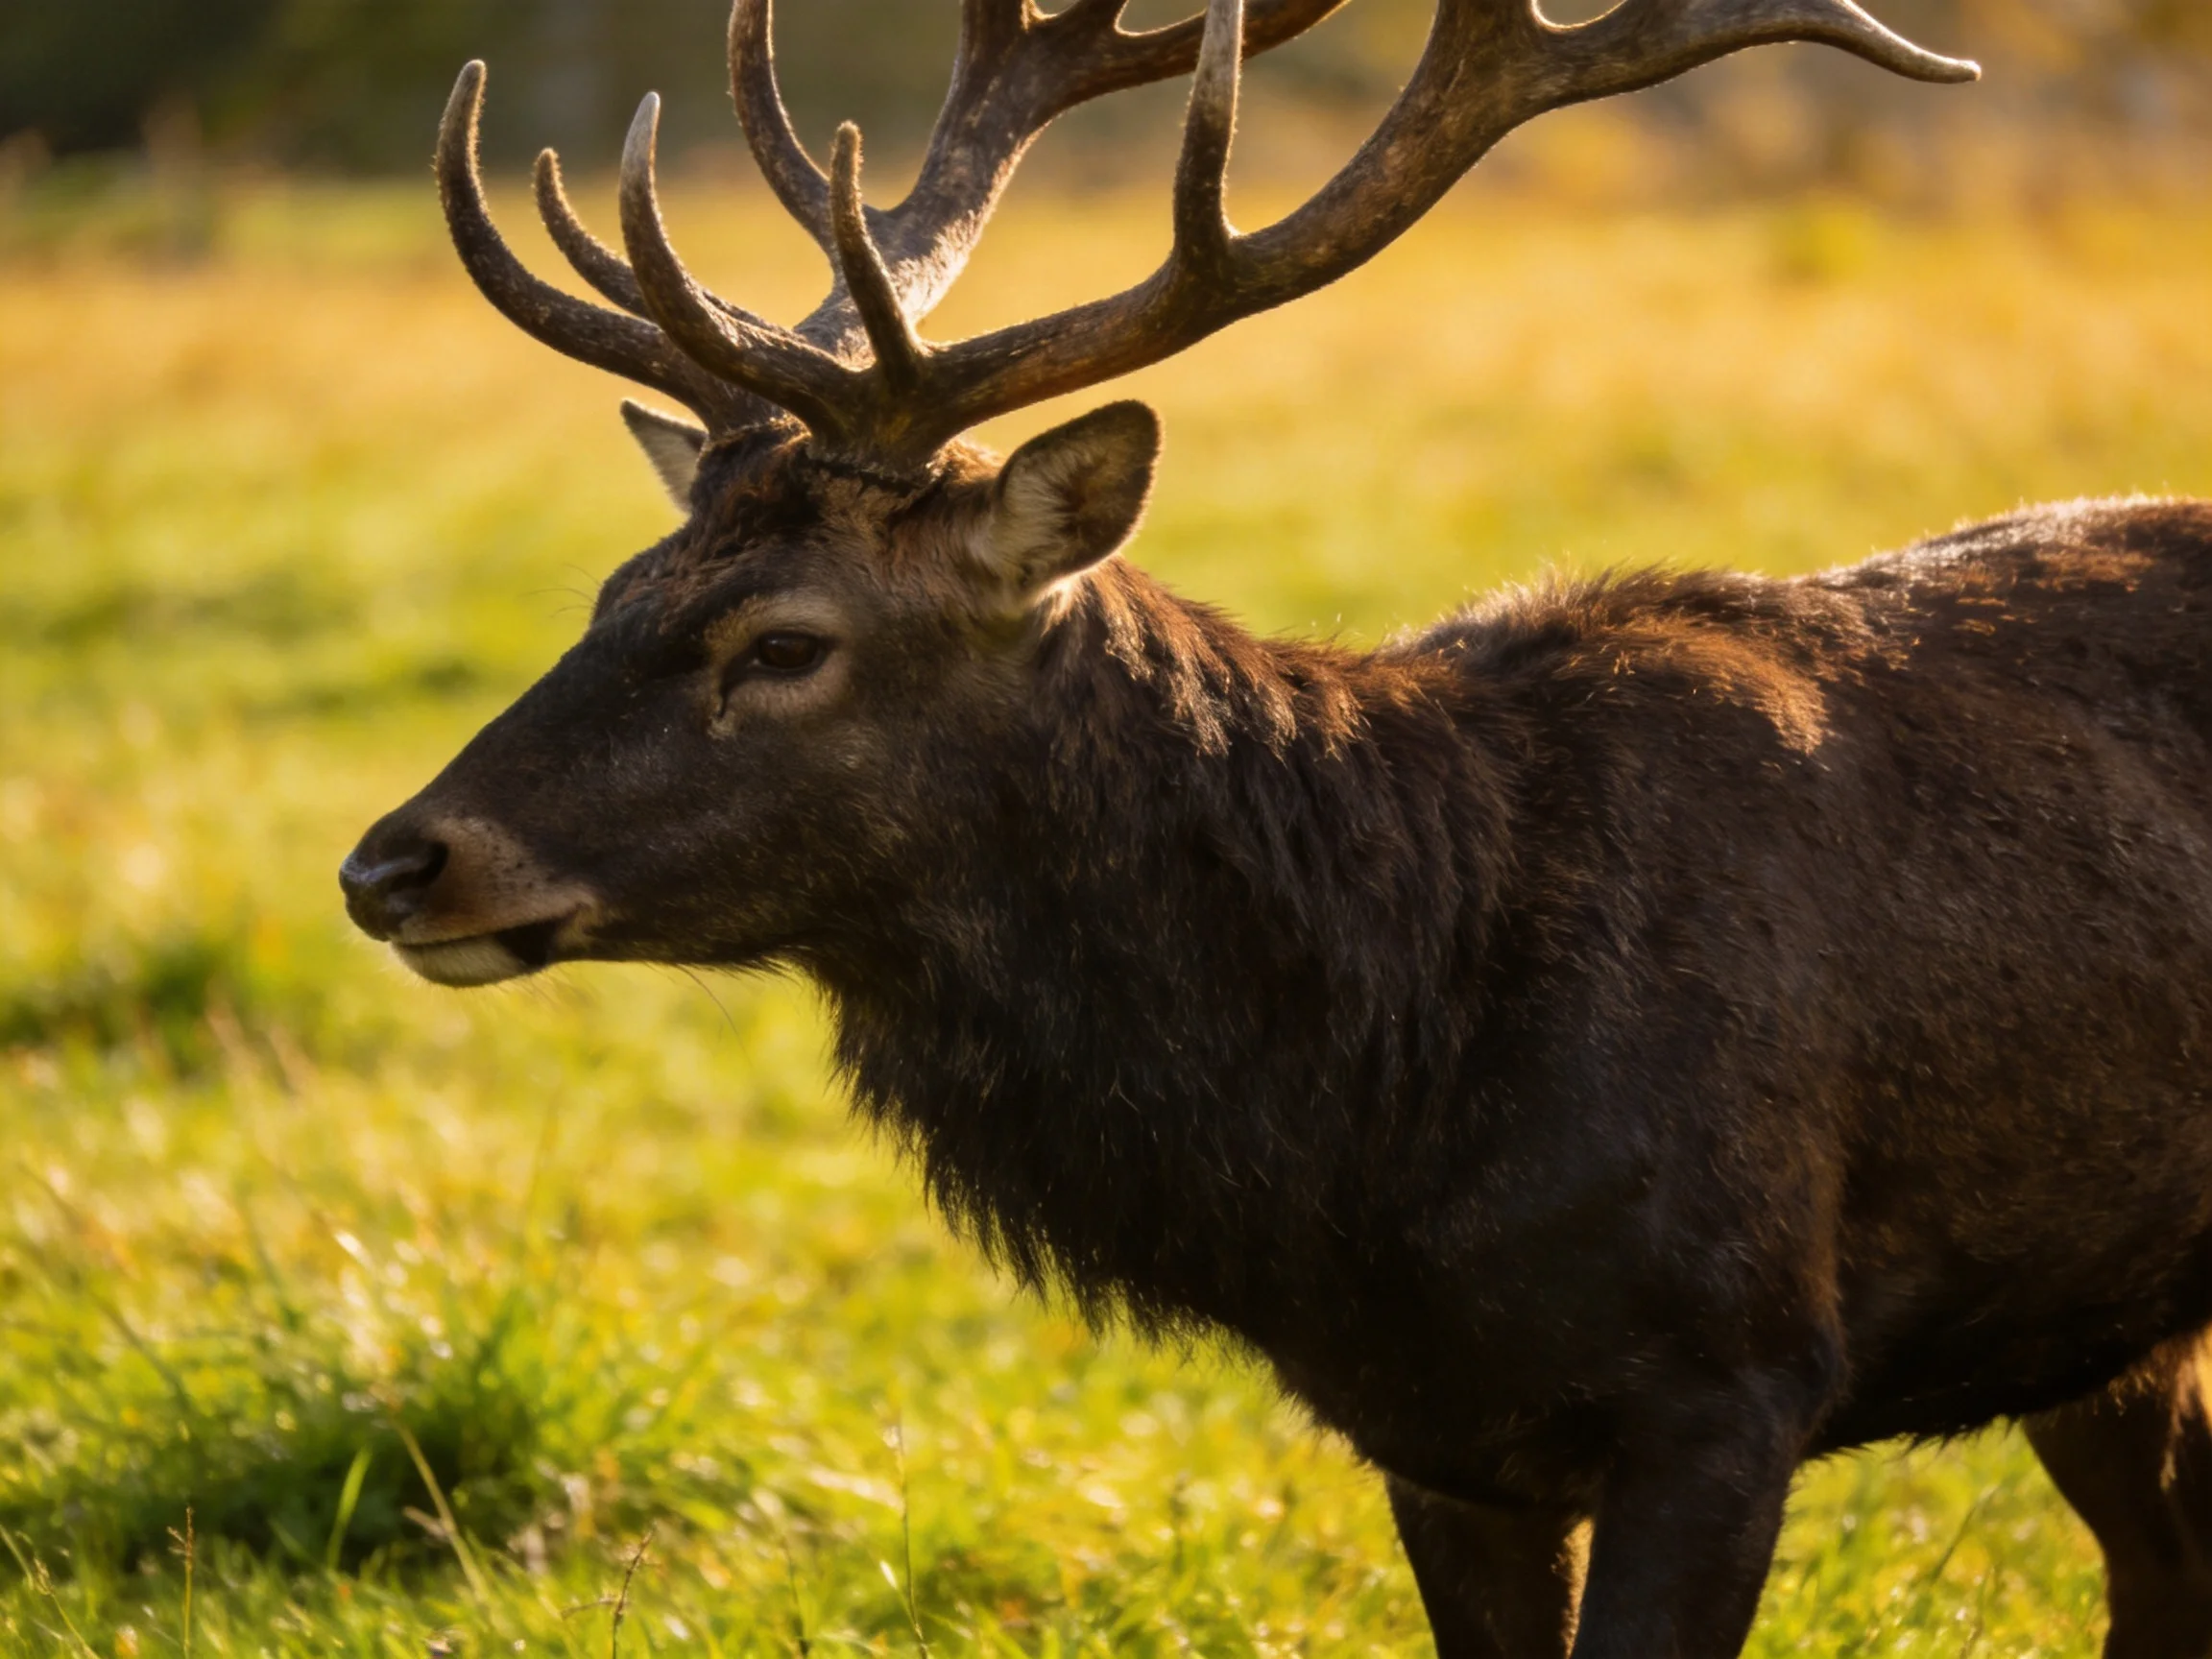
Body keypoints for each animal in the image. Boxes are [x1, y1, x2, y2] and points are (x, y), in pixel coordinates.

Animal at [336, 0, 2212, 1652]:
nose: (392, 862)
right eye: (615, 589)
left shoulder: (1731, 1374)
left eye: (784, 642)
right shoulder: (1435, 1438)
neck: (1386, 1113)